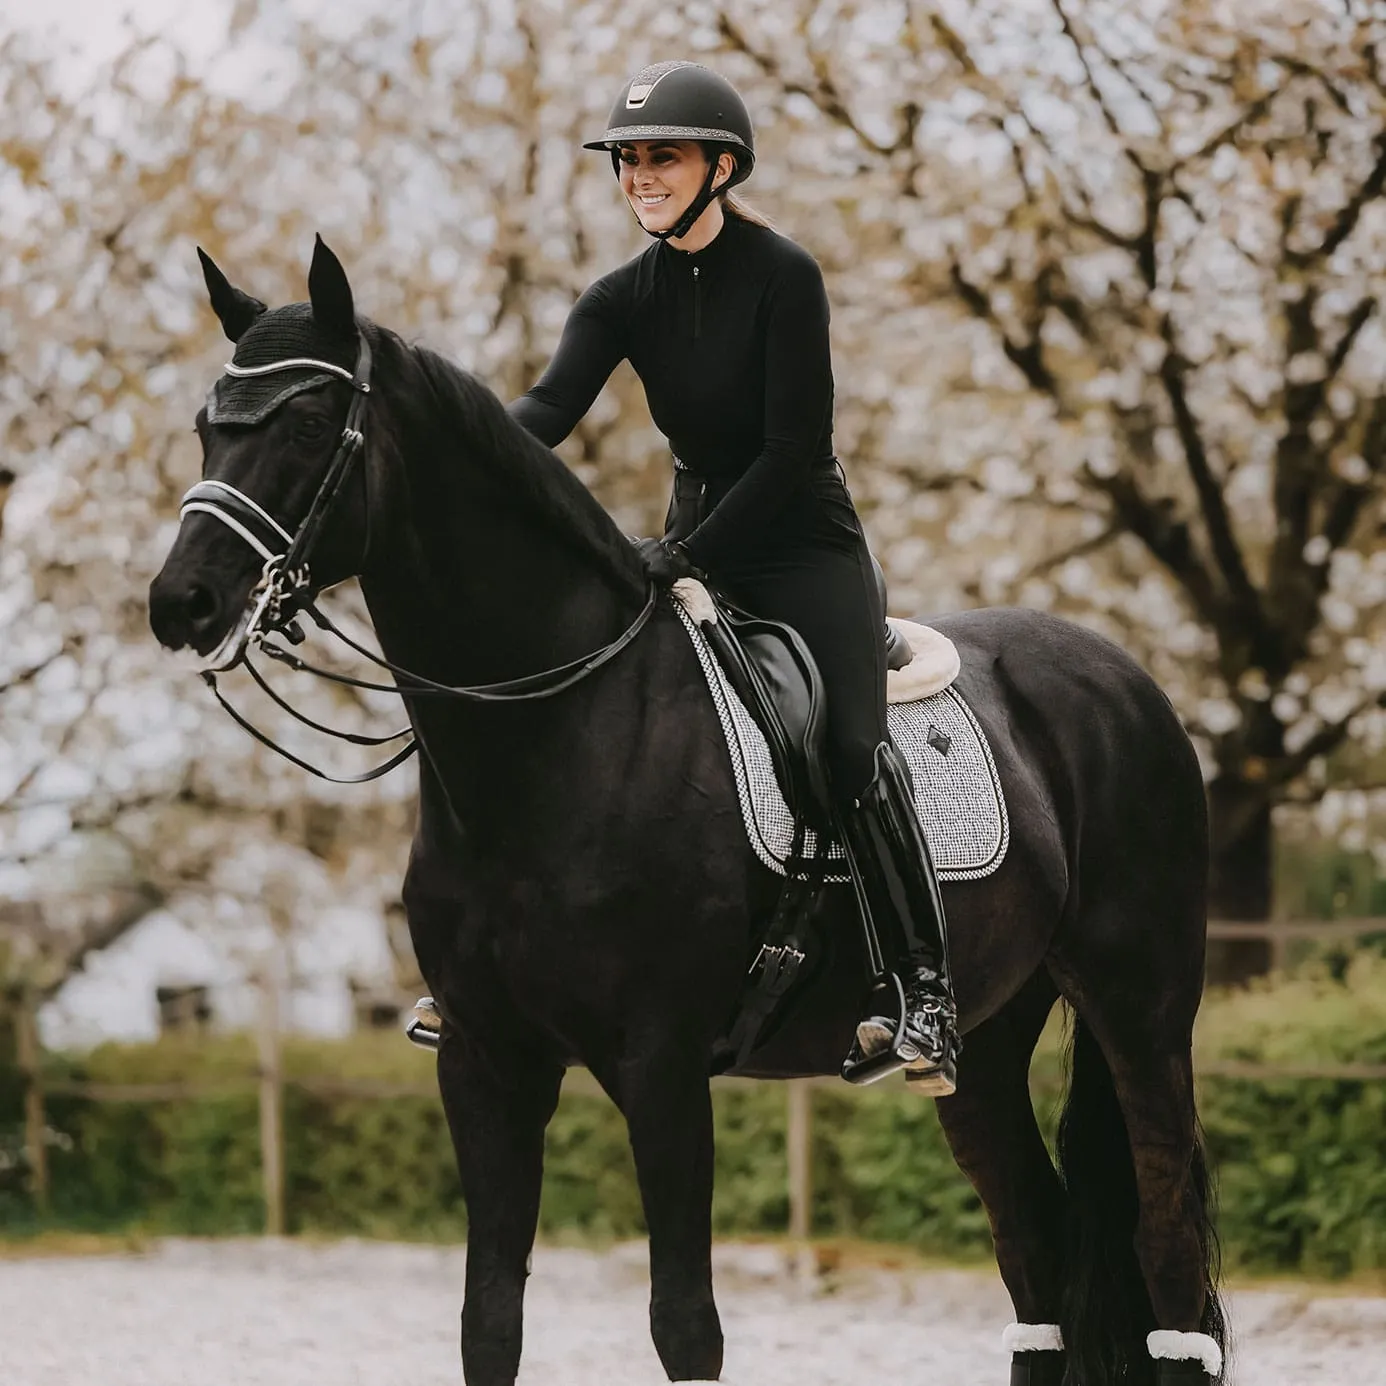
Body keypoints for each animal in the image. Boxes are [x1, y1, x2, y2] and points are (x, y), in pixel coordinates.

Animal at [148, 243, 1225, 1386]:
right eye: (209, 426)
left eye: (309, 427)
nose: (182, 604)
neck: (560, 731)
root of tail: (1122, 677)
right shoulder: (486, 1065)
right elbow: (489, 1324)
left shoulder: (661, 1068)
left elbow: (685, 1328)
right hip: (981, 1043)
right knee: (1036, 1253)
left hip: (1140, 1011)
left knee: (1165, 1246)